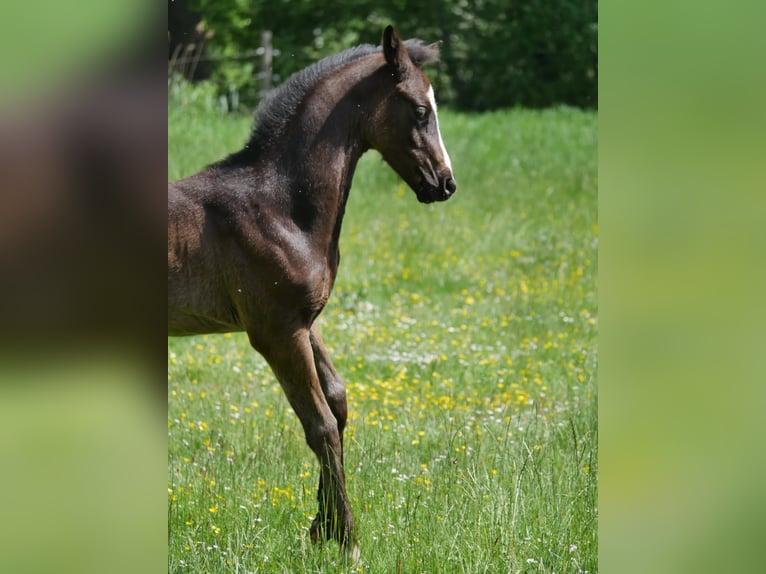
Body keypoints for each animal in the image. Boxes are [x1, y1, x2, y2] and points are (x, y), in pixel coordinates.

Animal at [168, 26, 456, 559]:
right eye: (419, 110)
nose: (445, 184)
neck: (281, 208)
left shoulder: (304, 322)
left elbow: (338, 403)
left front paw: (320, 528)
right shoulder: (275, 332)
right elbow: (319, 424)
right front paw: (347, 541)